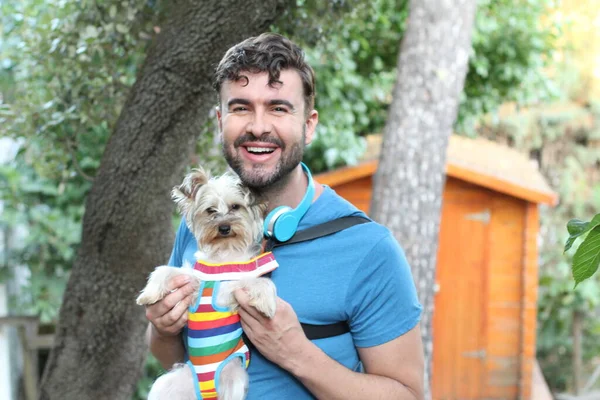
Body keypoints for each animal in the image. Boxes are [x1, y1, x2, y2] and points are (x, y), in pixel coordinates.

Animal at [137, 167, 278, 400]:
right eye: (210, 210)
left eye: (235, 206)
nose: (224, 227)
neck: (223, 254)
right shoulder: (192, 280)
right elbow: (164, 270)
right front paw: (148, 294)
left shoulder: (231, 289)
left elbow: (257, 282)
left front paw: (267, 304)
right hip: (166, 385)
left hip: (236, 379)